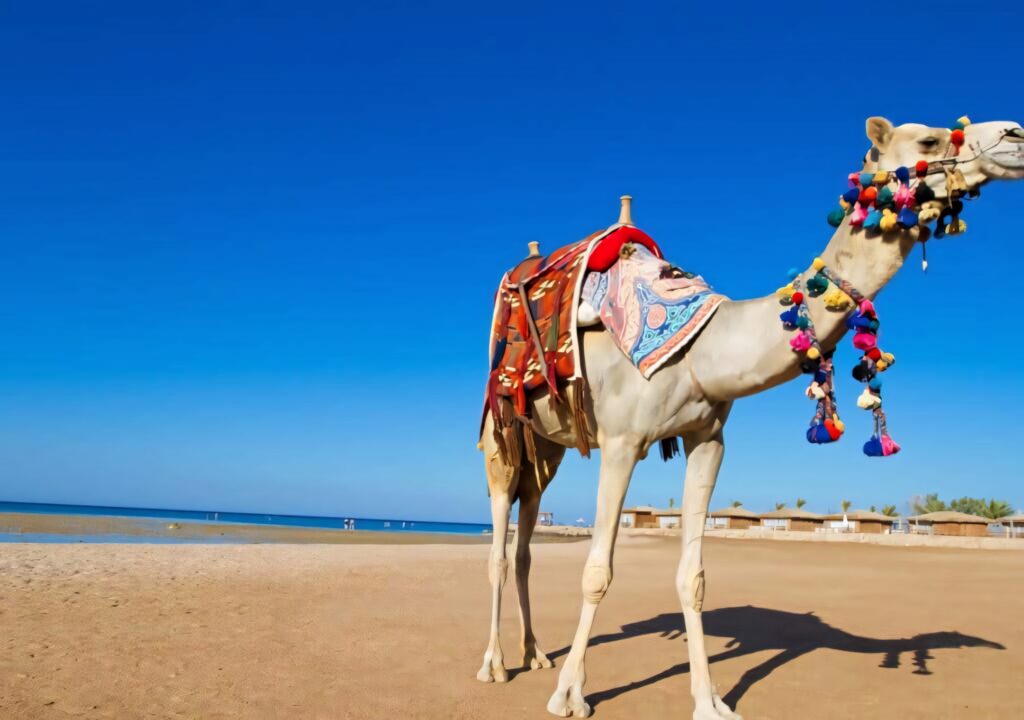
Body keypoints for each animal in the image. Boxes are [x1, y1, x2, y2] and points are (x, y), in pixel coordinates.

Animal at [476, 116, 1024, 719]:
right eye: (928, 140)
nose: (1014, 135)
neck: (705, 349)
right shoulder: (622, 439)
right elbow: (597, 571)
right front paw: (570, 695)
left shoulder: (708, 439)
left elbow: (692, 577)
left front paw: (709, 701)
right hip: (500, 437)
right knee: (498, 547)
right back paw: (496, 665)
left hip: (544, 445)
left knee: (526, 541)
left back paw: (535, 654)